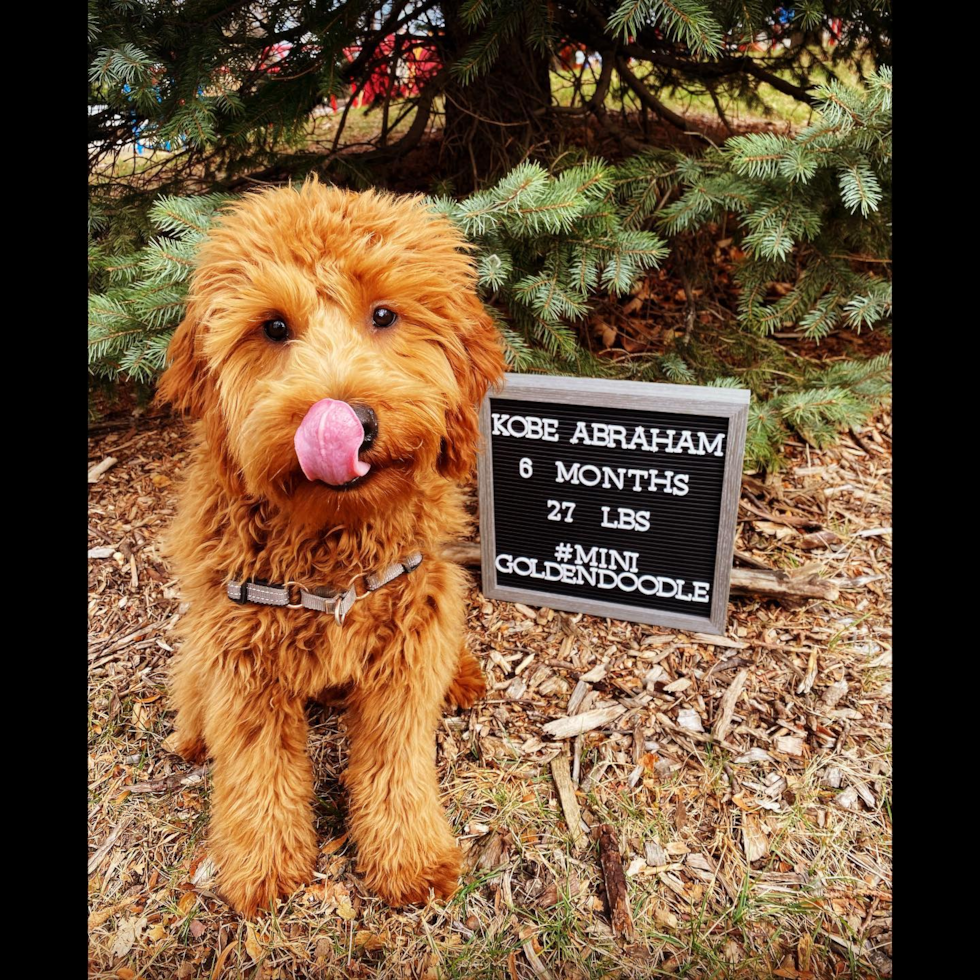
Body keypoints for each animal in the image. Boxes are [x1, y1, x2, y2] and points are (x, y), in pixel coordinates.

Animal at [159, 180, 506, 916]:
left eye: (385, 314)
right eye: (273, 327)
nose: (351, 422)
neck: (333, 544)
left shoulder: (408, 633)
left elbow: (395, 757)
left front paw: (408, 855)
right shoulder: (241, 653)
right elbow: (256, 760)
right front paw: (261, 863)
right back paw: (193, 729)